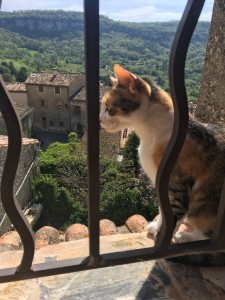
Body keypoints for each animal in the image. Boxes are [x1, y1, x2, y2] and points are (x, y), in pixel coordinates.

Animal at [100, 63, 225, 264]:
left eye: (108, 108)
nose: (99, 120)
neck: (149, 133)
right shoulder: (160, 182)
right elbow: (163, 210)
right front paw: (157, 226)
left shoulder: (177, 185)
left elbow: (173, 216)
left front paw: (162, 241)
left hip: (207, 202)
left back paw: (186, 237)